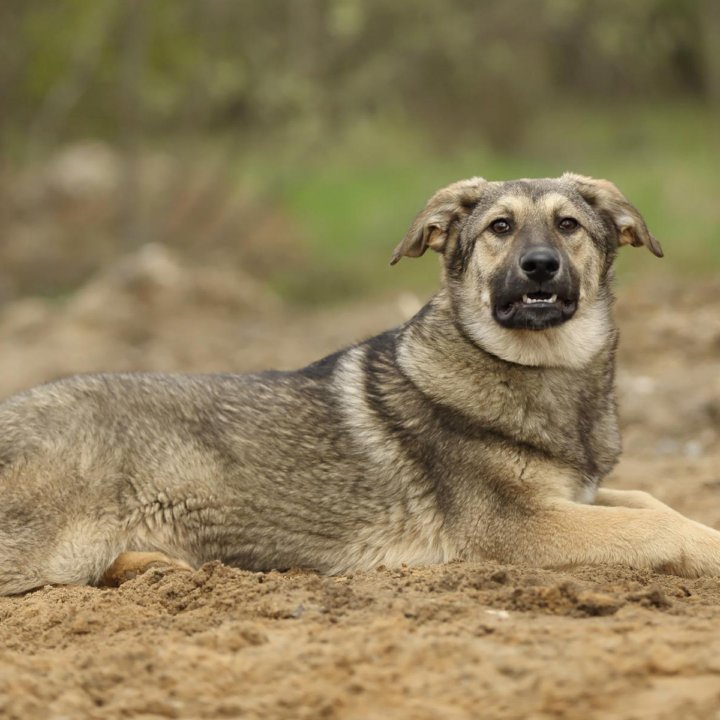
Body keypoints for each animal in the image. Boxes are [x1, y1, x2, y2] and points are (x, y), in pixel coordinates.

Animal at [1, 172, 720, 592]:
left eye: (568, 225)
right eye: (500, 228)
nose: (540, 266)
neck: (538, 369)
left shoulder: (576, 497)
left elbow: (657, 506)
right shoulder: (520, 530)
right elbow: (655, 530)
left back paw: (158, 568)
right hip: (52, 549)